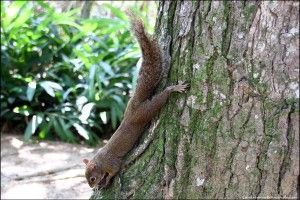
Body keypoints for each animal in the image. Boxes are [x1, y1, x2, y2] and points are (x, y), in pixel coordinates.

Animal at [82, 12, 188, 189]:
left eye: (92, 178)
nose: (91, 187)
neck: (100, 161)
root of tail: (134, 106)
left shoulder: (112, 163)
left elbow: (114, 171)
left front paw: (107, 180)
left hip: (144, 112)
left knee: (158, 101)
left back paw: (172, 89)